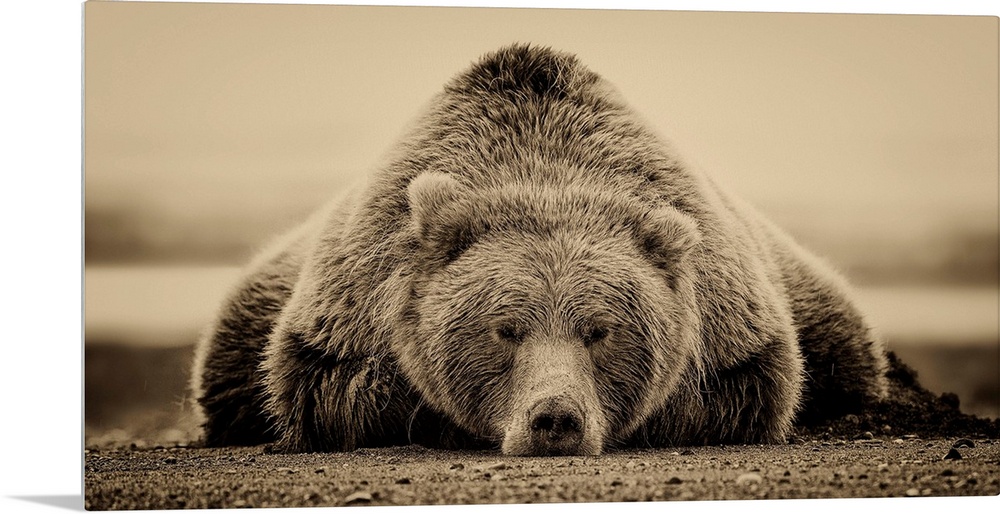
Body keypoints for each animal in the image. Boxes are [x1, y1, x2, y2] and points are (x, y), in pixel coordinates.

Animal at [191, 43, 888, 452]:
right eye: (504, 329)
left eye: (601, 330)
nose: (556, 419)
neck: (543, 169)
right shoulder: (349, 309)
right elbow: (328, 390)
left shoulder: (732, 323)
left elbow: (745, 388)